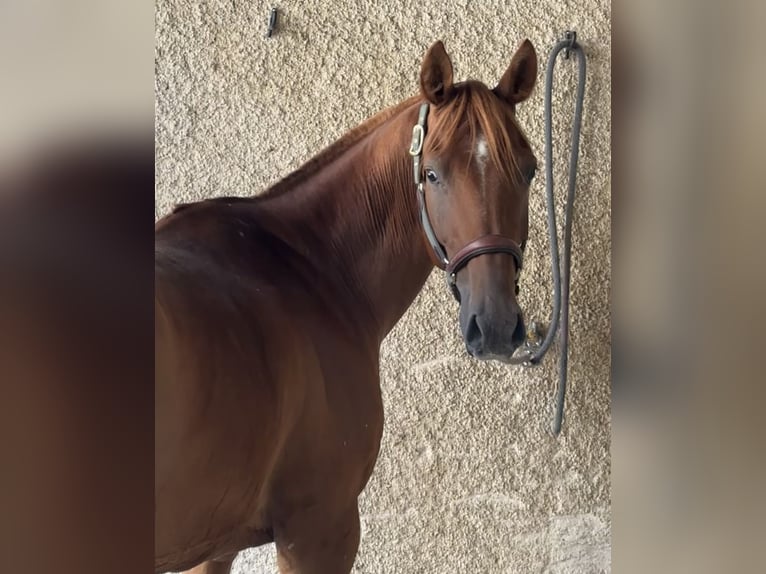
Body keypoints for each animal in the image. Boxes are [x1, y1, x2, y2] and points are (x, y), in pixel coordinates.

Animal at [154, 38, 540, 572]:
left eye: (529, 170)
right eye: (432, 174)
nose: (498, 326)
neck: (308, 265)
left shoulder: (215, 544)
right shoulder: (320, 529)